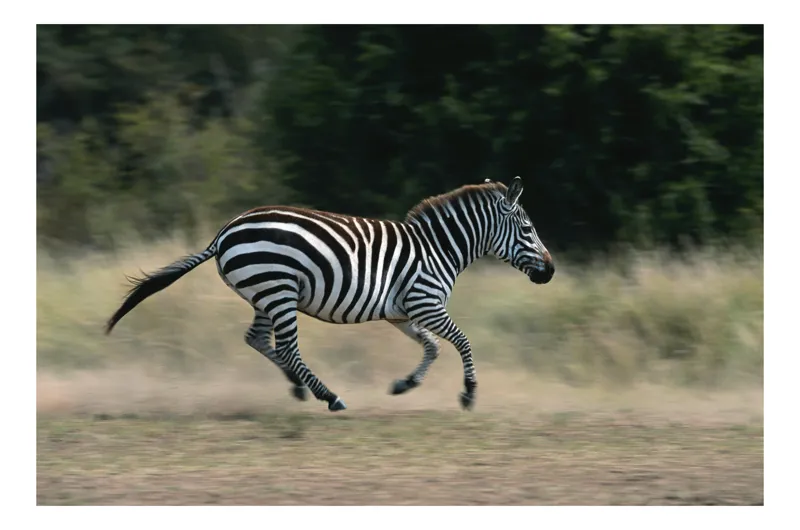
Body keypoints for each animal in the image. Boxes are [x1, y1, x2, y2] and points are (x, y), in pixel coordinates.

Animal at [105, 176, 555, 412]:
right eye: (529, 229)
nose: (550, 272)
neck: (438, 248)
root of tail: (225, 231)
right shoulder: (425, 303)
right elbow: (462, 341)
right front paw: (468, 393)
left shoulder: (403, 312)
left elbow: (433, 347)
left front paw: (404, 385)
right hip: (280, 289)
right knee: (286, 347)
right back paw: (329, 395)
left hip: (265, 292)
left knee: (258, 339)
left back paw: (300, 387)